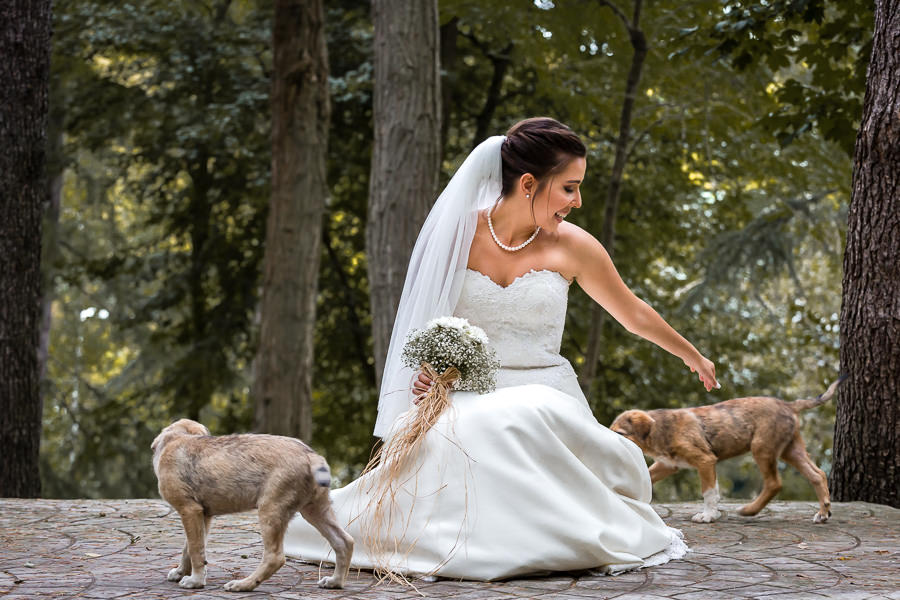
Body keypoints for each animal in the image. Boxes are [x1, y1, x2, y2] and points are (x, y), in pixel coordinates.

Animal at [153, 420, 354, 592]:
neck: (178, 438)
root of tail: (311, 455)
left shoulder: (189, 510)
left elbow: (195, 550)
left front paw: (195, 581)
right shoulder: (203, 515)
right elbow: (189, 548)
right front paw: (181, 573)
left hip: (270, 511)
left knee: (274, 557)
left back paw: (243, 585)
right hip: (315, 510)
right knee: (344, 541)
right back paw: (335, 582)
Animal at [608, 380, 848, 524]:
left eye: (620, 433)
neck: (660, 429)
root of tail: (788, 405)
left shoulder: (705, 460)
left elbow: (708, 492)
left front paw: (707, 516)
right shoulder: (669, 464)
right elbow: (650, 476)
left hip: (762, 447)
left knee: (774, 483)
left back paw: (749, 510)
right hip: (790, 449)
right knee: (817, 474)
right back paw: (823, 512)